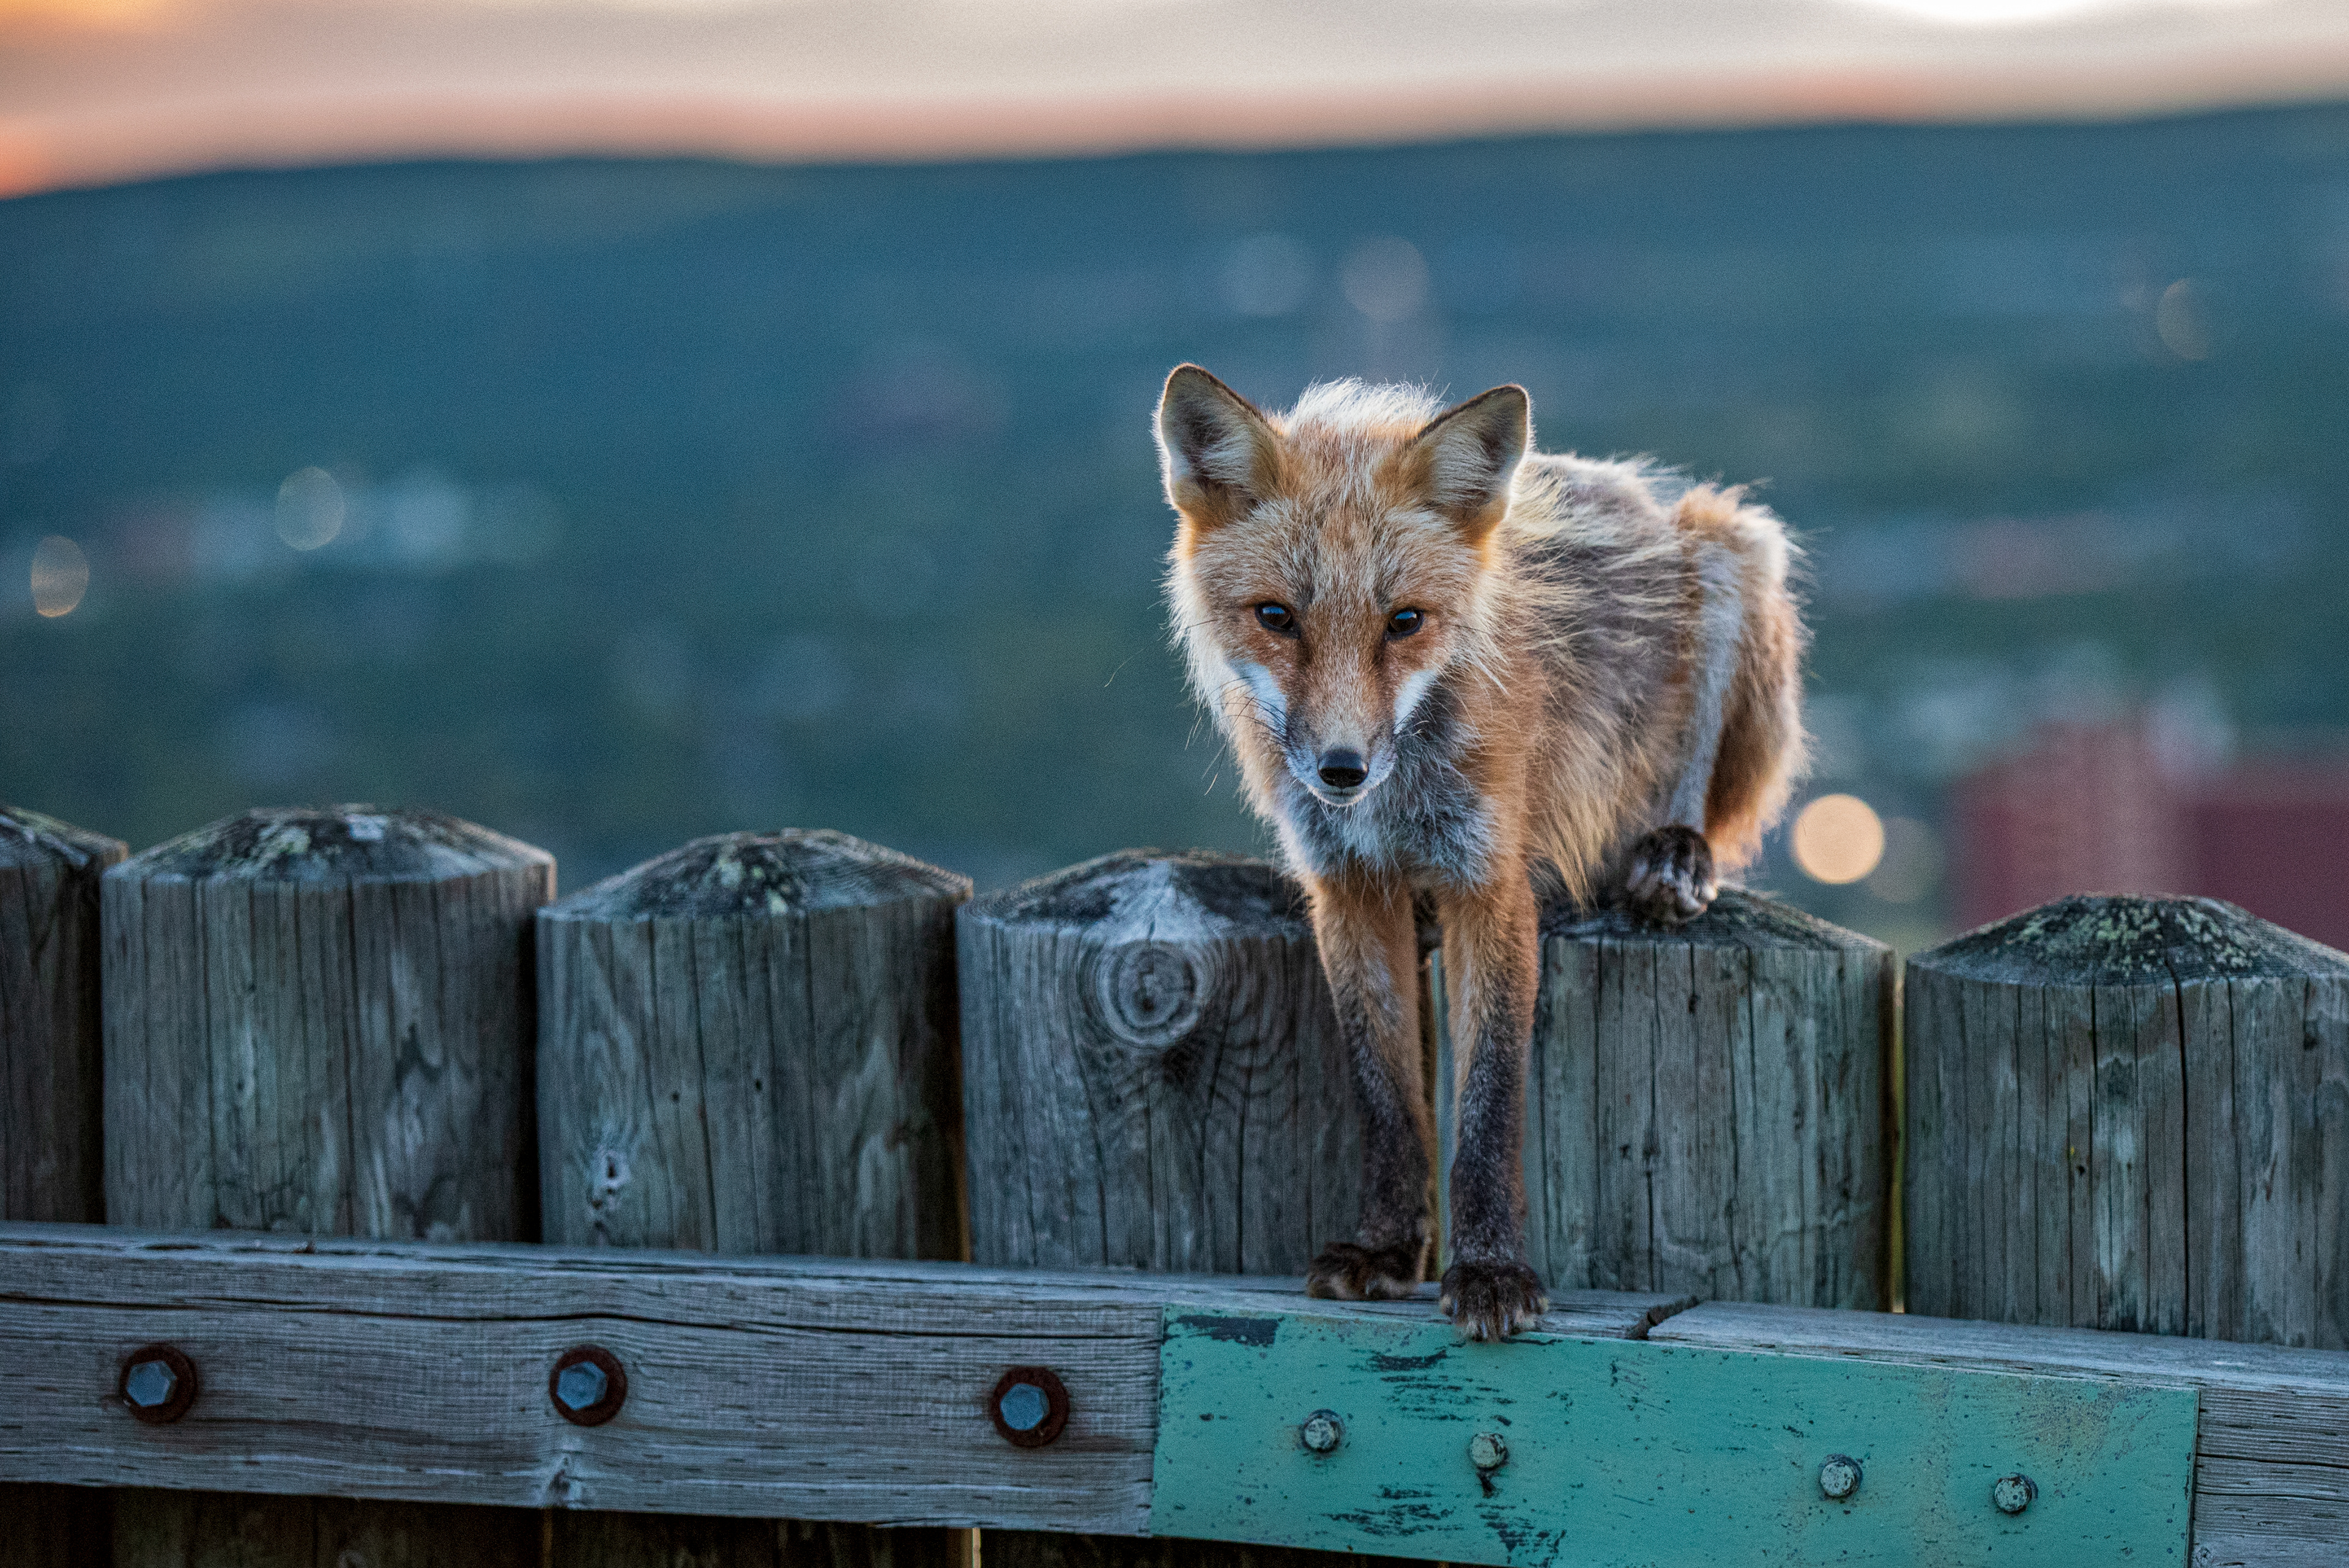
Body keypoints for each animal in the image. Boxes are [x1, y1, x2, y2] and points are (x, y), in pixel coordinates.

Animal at [1156, 364, 1806, 1340]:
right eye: (1276, 617)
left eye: (1404, 622)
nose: (1341, 769)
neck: (1395, 809)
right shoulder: (1346, 887)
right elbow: (1385, 1094)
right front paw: (1387, 1247)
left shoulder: (1489, 879)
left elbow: (1489, 1103)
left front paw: (1492, 1268)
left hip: (1733, 550)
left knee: (1694, 770)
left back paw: (1672, 855)